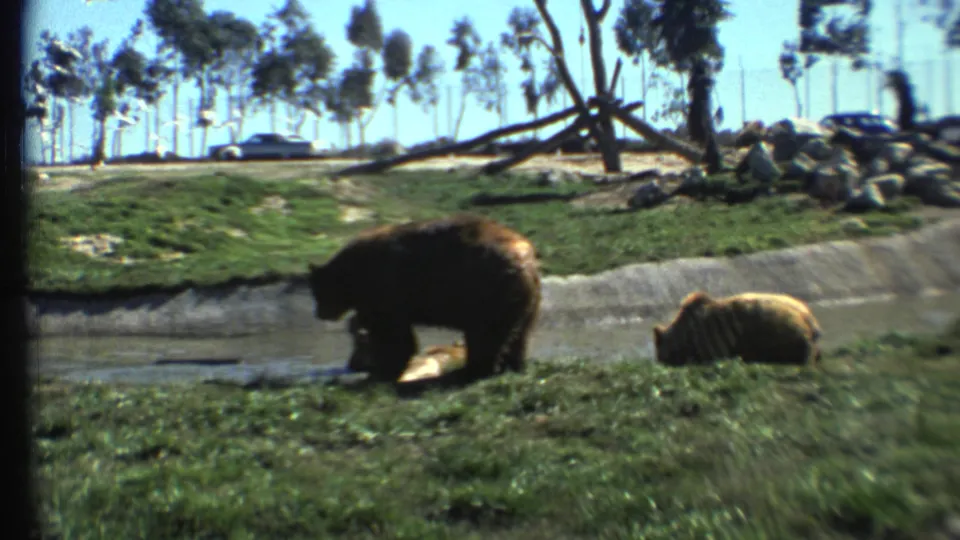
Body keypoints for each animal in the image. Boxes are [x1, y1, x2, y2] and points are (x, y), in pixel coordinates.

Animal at [308, 213, 542, 385]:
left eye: (316, 292)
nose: (319, 313)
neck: (353, 275)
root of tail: (525, 256)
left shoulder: (385, 290)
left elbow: (393, 335)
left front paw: (382, 372)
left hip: (484, 289)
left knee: (485, 334)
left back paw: (474, 370)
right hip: (526, 299)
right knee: (519, 333)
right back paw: (512, 365)